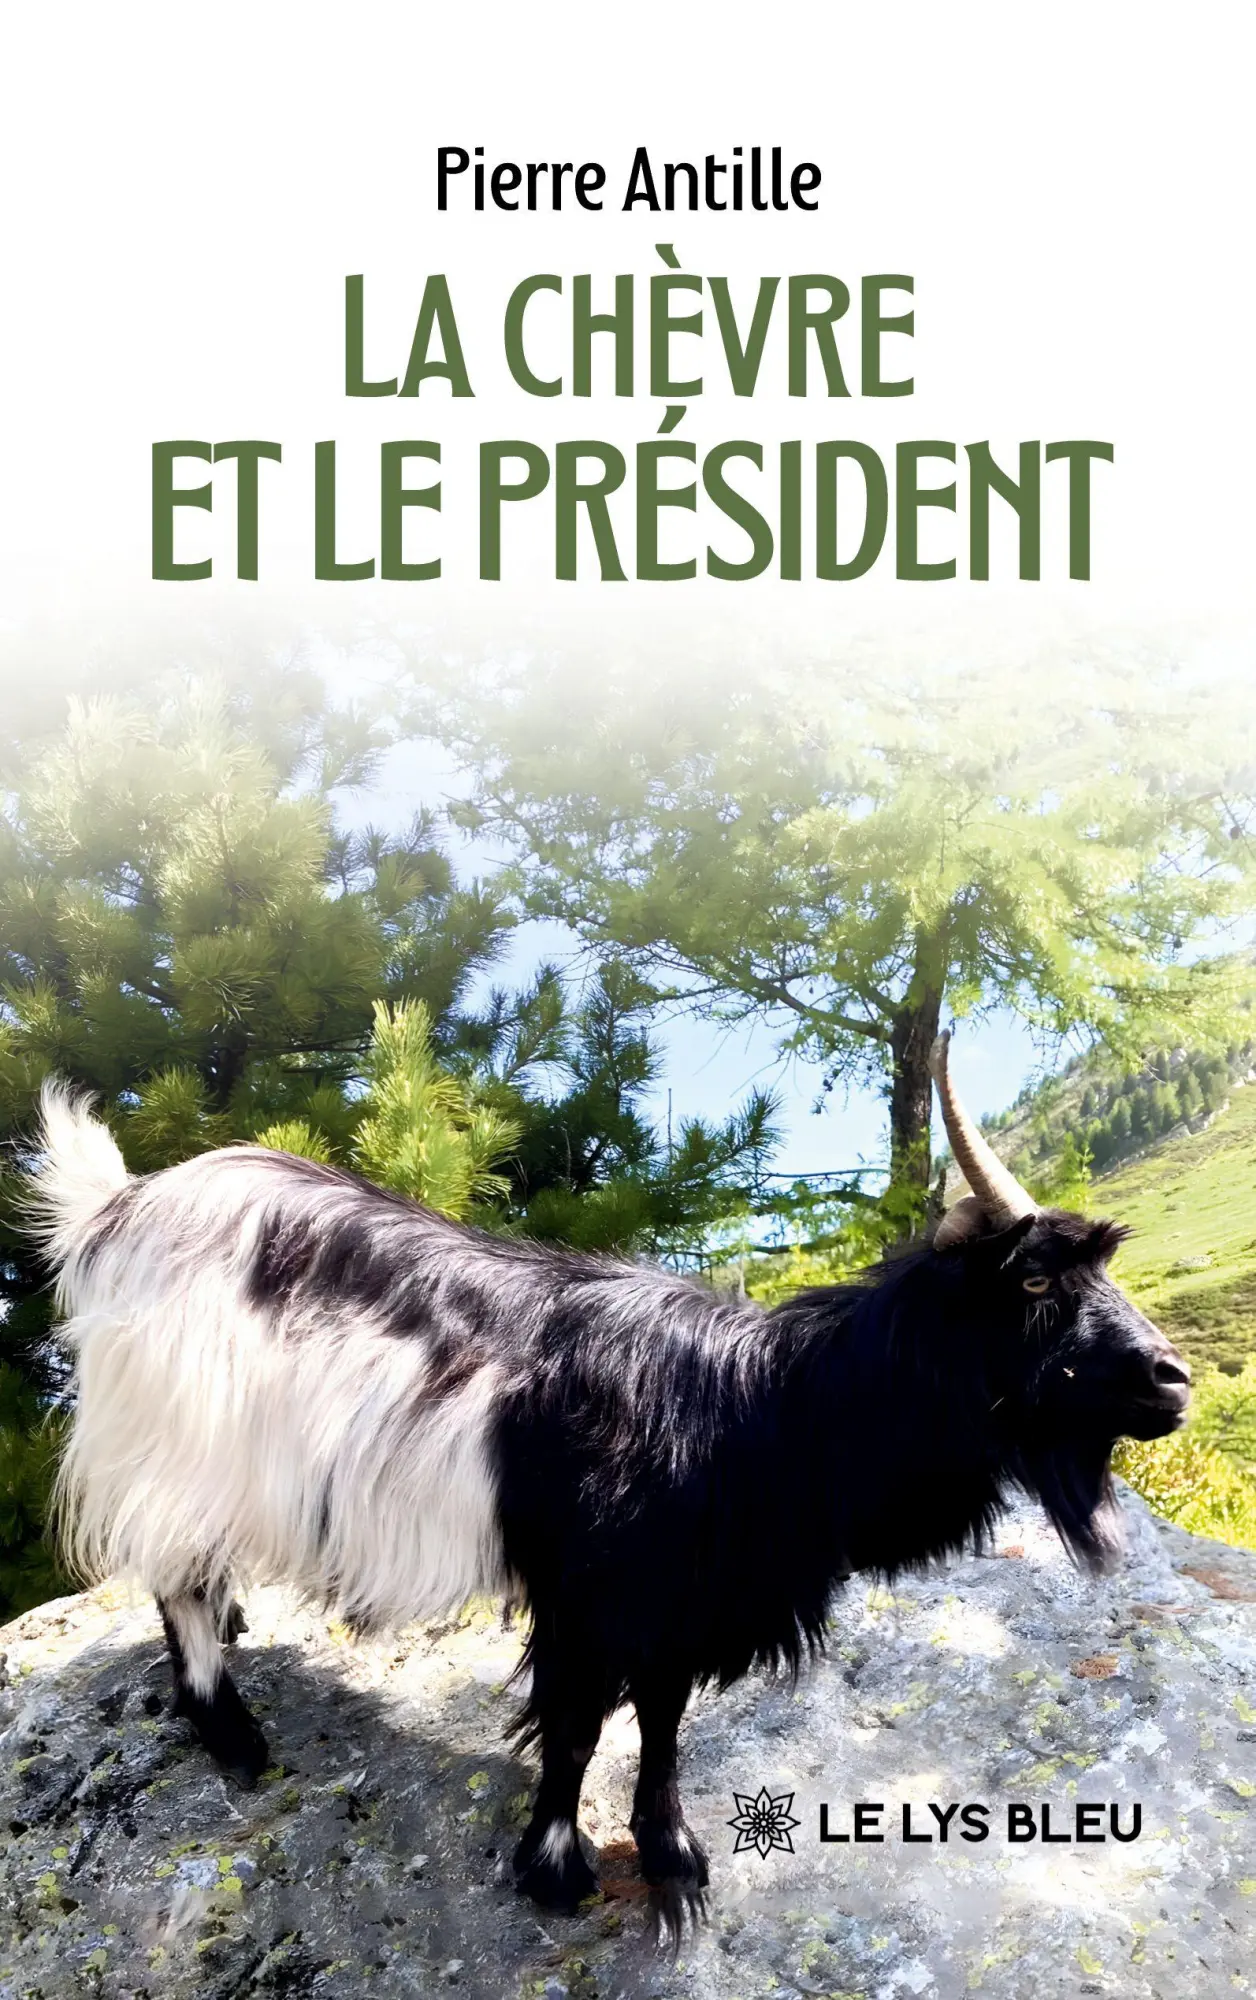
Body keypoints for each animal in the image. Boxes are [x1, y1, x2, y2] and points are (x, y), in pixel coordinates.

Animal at [28, 1035, 1190, 1925]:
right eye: (1032, 1279)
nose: (1170, 1378)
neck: (758, 1410)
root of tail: (114, 1208)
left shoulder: (679, 1601)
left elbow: (665, 1724)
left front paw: (671, 1848)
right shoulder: (589, 1595)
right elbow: (578, 1725)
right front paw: (553, 1868)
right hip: (176, 1440)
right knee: (174, 1575)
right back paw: (234, 1735)